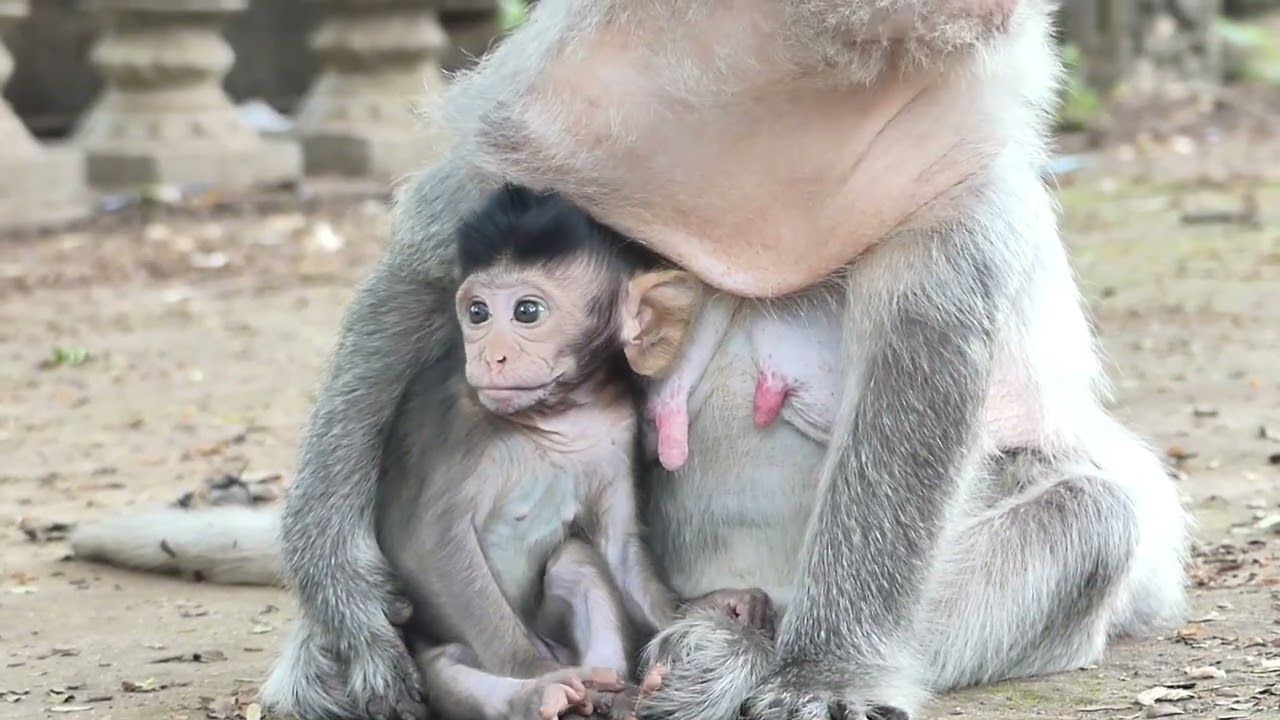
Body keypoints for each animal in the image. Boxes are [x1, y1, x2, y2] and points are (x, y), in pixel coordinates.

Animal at [66, 3, 1193, 720]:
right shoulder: (573, 88)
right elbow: (429, 266)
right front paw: (340, 595)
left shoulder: (957, 145)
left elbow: (922, 363)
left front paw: (823, 671)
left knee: (1087, 516)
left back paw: (727, 653)